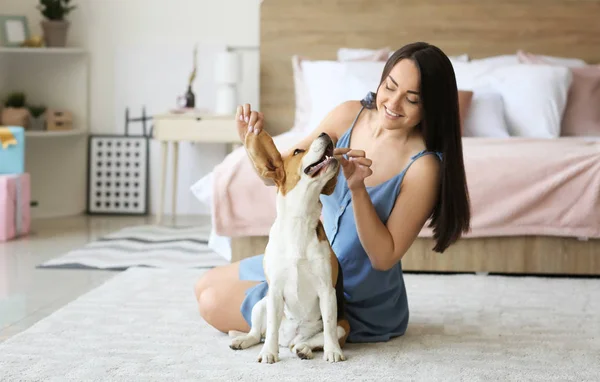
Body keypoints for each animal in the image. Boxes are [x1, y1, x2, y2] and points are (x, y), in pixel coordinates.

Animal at [227, 129, 350, 364]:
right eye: (297, 151)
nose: (325, 133)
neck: (299, 220)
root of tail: (291, 336)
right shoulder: (275, 290)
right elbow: (271, 328)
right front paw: (269, 353)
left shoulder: (327, 290)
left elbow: (329, 326)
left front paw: (333, 351)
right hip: (262, 303)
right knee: (258, 333)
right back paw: (244, 341)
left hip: (343, 325)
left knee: (314, 339)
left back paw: (303, 348)